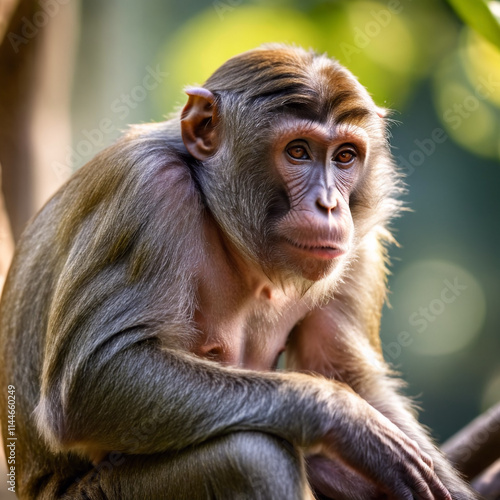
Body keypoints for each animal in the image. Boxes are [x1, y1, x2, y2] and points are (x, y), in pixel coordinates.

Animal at [0, 45, 478, 498]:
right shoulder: (148, 190)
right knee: (250, 454)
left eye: (345, 156)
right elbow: (94, 376)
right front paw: (346, 419)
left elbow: (350, 373)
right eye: (298, 151)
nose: (329, 205)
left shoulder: (358, 243)